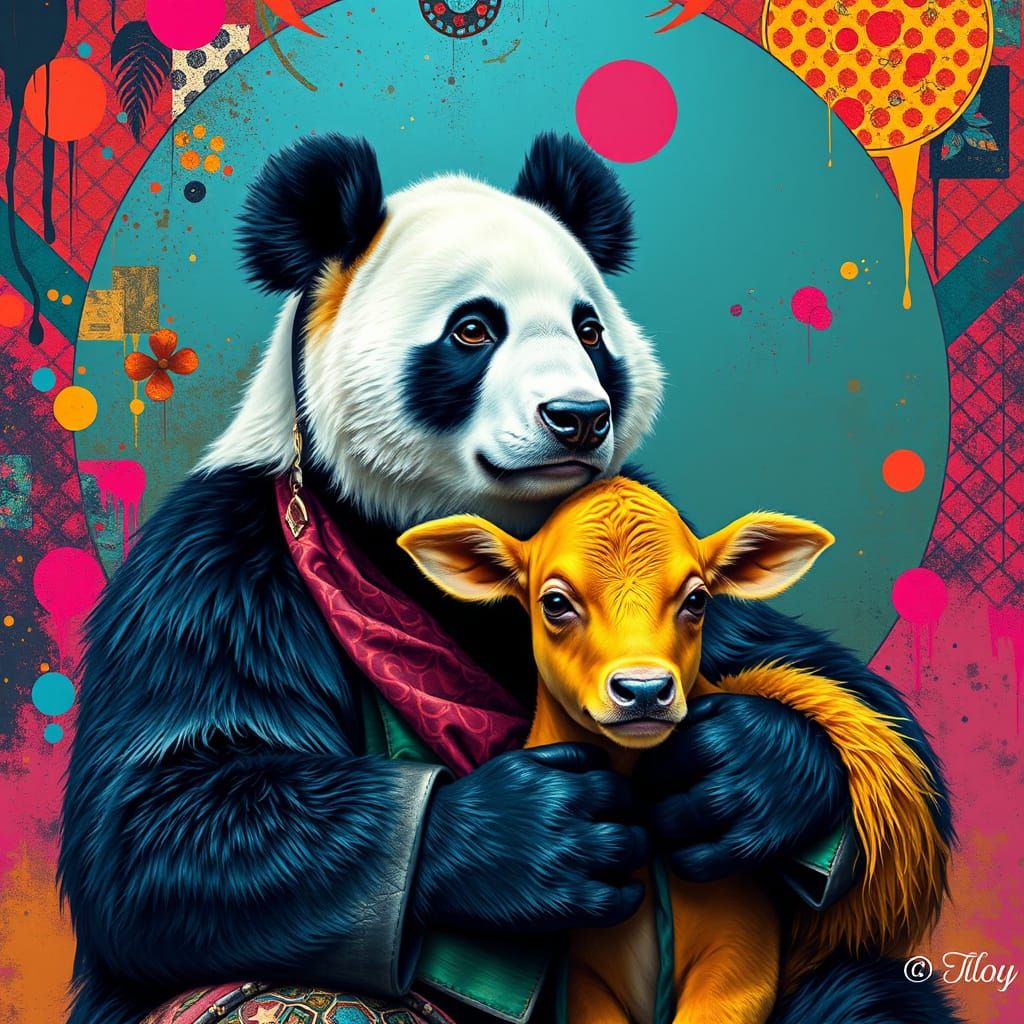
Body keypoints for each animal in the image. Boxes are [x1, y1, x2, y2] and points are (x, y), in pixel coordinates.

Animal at [59, 133, 957, 1024]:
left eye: (590, 330)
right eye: (472, 330)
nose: (579, 417)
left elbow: (861, 707)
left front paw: (746, 769)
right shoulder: (221, 573)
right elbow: (157, 827)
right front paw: (533, 834)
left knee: (868, 991)